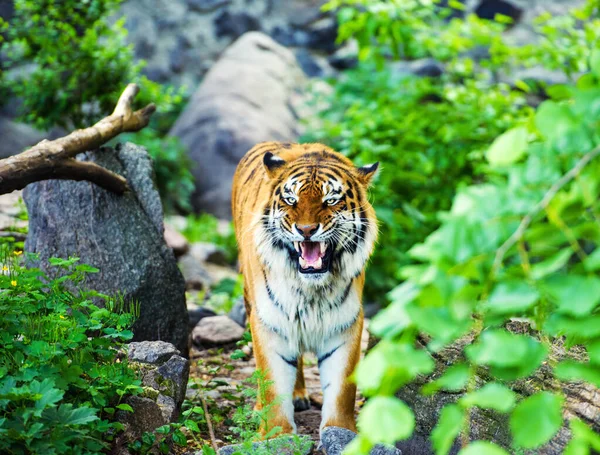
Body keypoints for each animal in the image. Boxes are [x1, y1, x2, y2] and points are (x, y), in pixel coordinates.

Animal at [232, 142, 378, 438]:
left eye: (330, 201)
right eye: (291, 200)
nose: (306, 230)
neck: (311, 289)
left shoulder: (345, 324)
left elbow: (342, 387)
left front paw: (340, 432)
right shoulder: (269, 321)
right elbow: (272, 382)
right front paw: (276, 435)